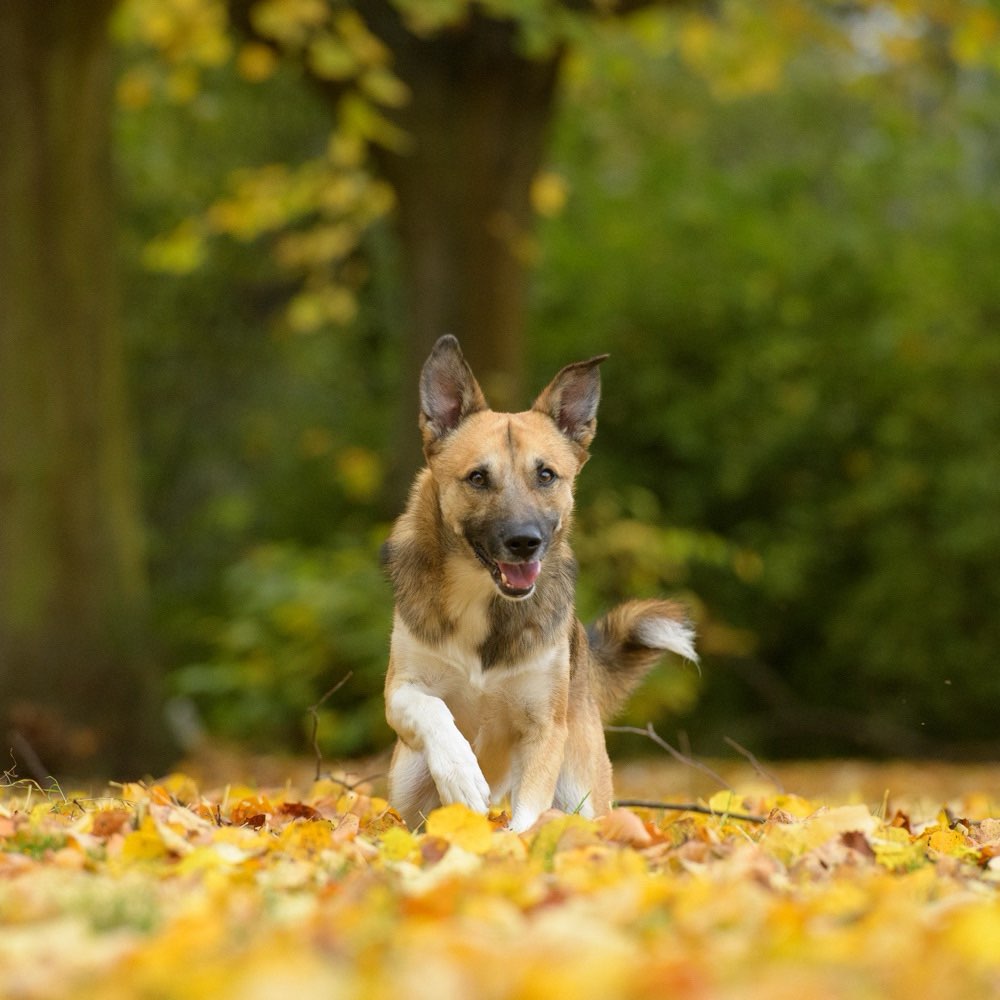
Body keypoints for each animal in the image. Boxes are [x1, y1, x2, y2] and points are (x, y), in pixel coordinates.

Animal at [382, 336, 696, 836]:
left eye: (545, 474)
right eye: (477, 477)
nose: (525, 541)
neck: (485, 601)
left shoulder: (545, 727)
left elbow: (530, 813)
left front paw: (517, 844)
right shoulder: (400, 689)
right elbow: (432, 711)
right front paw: (461, 775)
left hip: (581, 784)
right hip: (406, 780)